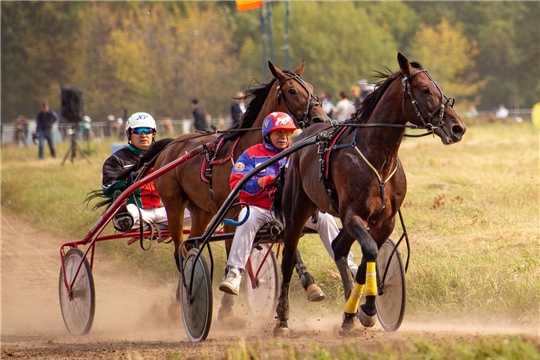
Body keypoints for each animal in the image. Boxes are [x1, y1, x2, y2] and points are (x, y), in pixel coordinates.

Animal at [154, 60, 332, 320]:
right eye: (292, 91)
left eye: (309, 86)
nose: (321, 118)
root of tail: (171, 145)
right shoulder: (232, 213)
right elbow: (232, 251)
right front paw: (226, 306)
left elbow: (290, 246)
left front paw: (311, 285)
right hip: (174, 205)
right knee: (180, 250)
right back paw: (183, 297)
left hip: (202, 211)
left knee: (189, 246)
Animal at [272, 52, 466, 334]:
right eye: (425, 89)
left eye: (438, 87)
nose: (458, 127)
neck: (376, 155)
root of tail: (299, 140)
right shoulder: (353, 215)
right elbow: (372, 251)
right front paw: (368, 308)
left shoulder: (385, 221)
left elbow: (368, 257)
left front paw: (359, 310)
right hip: (297, 209)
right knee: (287, 257)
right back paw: (283, 319)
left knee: (338, 247)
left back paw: (347, 311)